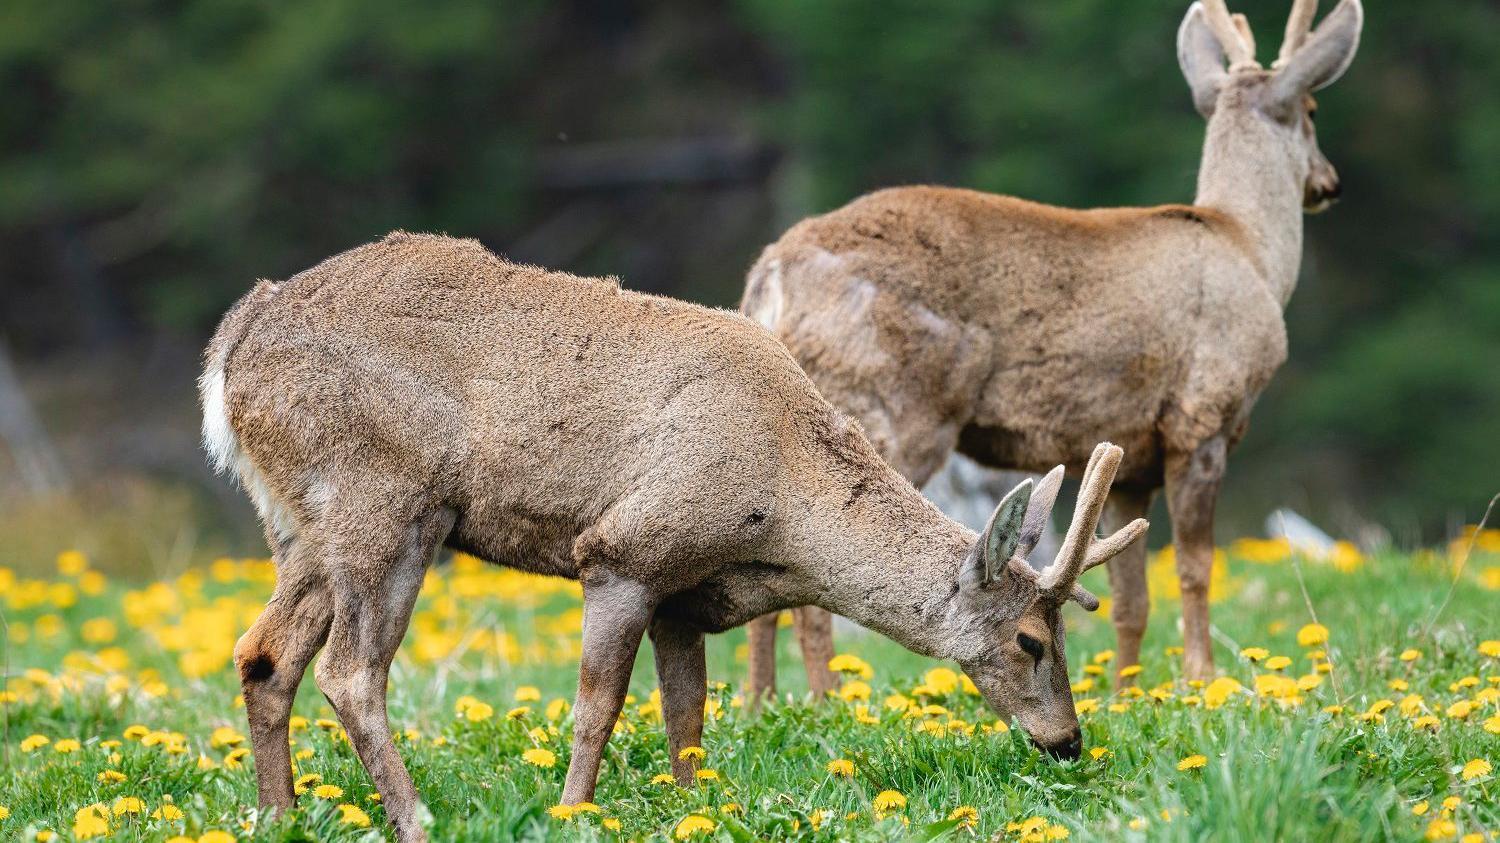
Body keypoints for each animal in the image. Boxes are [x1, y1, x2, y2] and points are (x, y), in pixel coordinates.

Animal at [196, 231, 1134, 840]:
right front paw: (574, 811)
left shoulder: (687, 595)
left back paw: (277, 814)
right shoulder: (623, 550)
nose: (1067, 740)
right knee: (351, 672)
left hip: (301, 524)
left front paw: (695, 806)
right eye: (1029, 640)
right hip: (383, 498)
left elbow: (688, 716)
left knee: (263, 653)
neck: (779, 496)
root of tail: (231, 346)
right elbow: (597, 704)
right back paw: (415, 814)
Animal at [744, 0, 1368, 684]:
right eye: (1312, 110)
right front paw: (1202, 677)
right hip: (888, 404)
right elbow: (1193, 568)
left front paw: (1128, 688)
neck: (1249, 248)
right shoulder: (1202, 416)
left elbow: (1131, 599)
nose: (1330, 182)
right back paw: (822, 694)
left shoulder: (1131, 458)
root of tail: (771, 273)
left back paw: (762, 698)